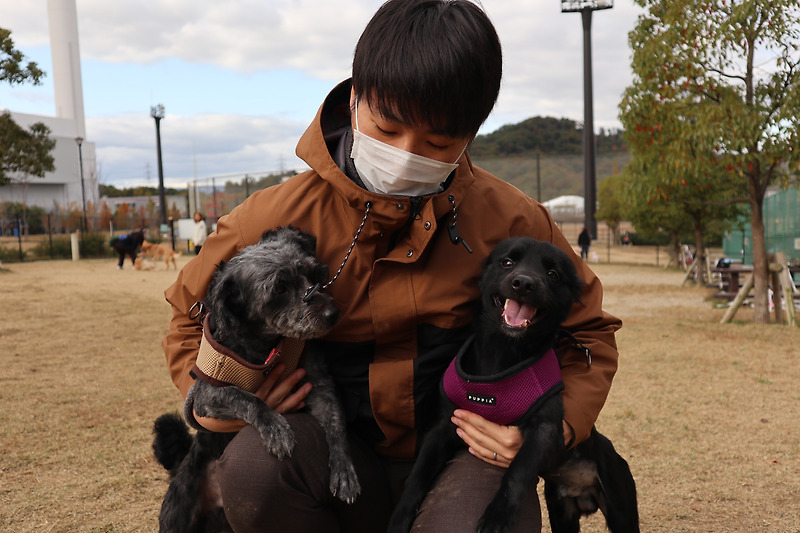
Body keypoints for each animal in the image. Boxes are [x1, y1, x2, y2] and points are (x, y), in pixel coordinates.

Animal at [151, 227, 362, 532]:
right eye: (280, 289)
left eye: (314, 274)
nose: (332, 314)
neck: (266, 347)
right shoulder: (205, 395)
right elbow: (246, 397)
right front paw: (275, 428)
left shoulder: (320, 384)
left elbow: (335, 425)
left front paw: (344, 470)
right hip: (177, 515)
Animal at [388, 238, 636, 532]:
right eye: (507, 262)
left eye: (553, 274)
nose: (524, 283)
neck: (503, 355)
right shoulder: (443, 426)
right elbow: (418, 476)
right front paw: (400, 517)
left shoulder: (543, 429)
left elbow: (516, 474)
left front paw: (496, 517)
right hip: (562, 513)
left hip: (621, 508)